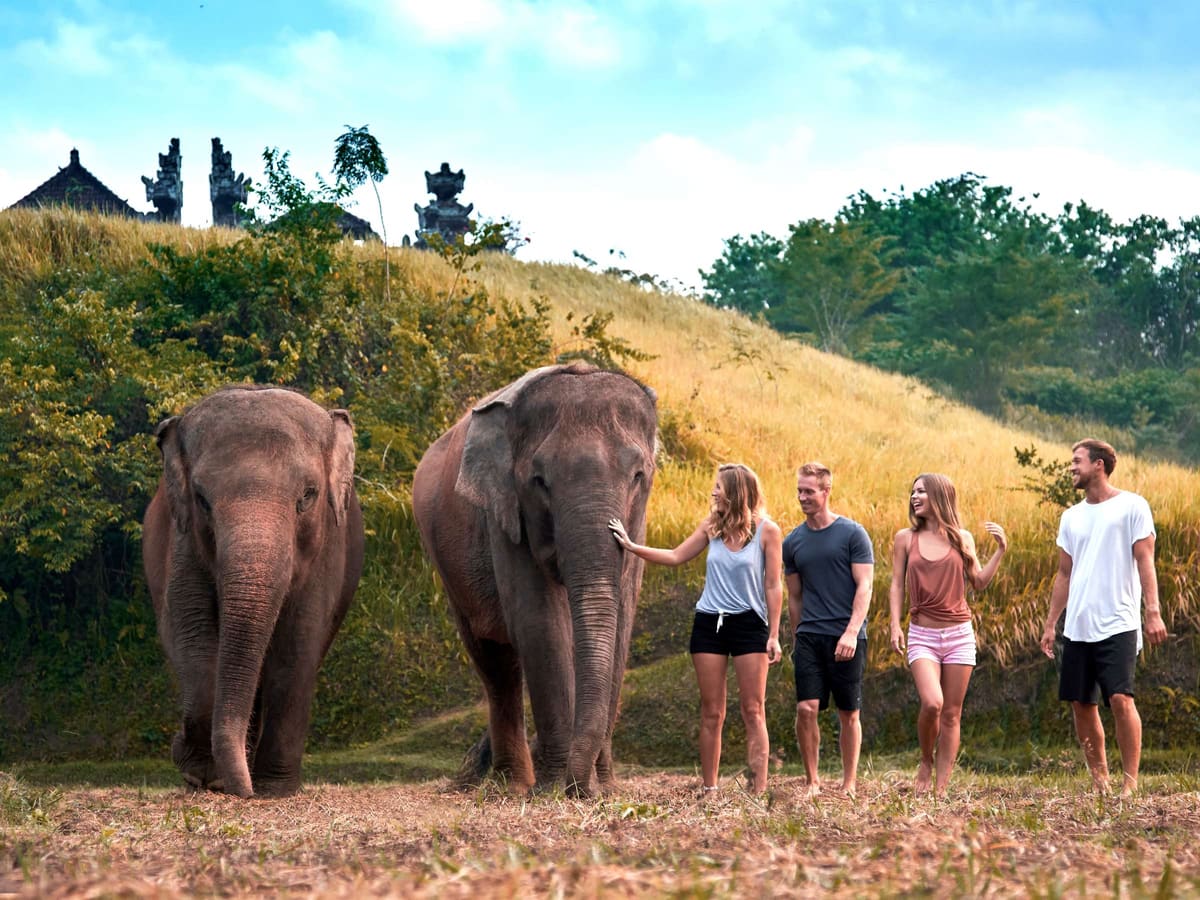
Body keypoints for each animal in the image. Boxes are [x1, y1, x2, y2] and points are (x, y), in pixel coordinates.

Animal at [142, 385, 364, 798]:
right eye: (202, 499)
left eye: (308, 496)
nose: (242, 790)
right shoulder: (182, 540)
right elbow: (189, 633)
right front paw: (201, 773)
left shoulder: (329, 546)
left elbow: (298, 644)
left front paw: (274, 789)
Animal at [412, 363, 658, 796]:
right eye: (539, 481)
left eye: (637, 475)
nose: (583, 788)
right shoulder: (505, 515)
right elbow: (539, 622)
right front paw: (556, 787)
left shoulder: (638, 524)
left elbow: (622, 621)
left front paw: (605, 789)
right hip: (446, 562)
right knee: (495, 661)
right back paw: (513, 785)